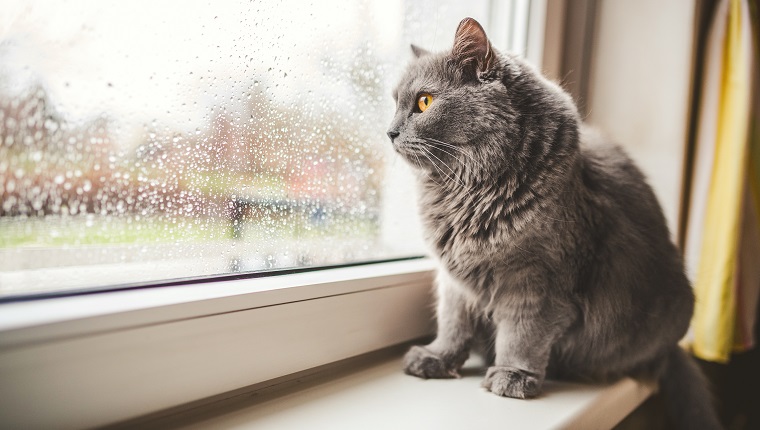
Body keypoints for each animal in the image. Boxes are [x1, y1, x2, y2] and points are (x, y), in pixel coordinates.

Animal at [388, 17, 720, 430]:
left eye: (424, 102)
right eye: (394, 103)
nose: (390, 132)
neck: (468, 194)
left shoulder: (539, 283)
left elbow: (523, 334)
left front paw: (512, 376)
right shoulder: (454, 281)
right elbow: (453, 324)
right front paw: (436, 358)